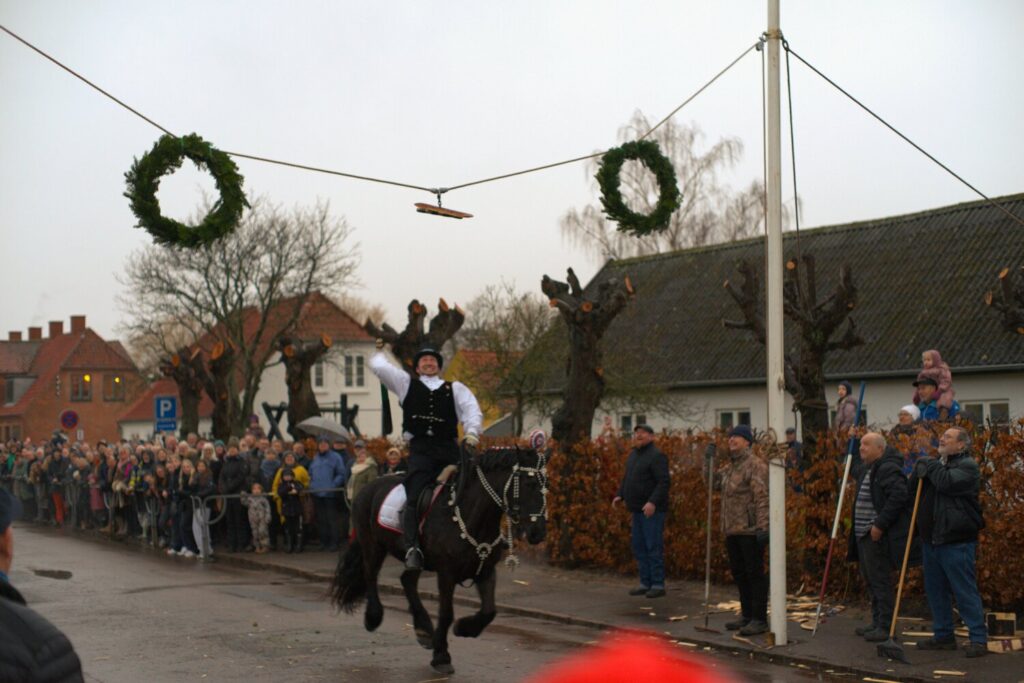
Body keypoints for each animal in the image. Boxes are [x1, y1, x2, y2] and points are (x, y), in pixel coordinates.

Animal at [331, 446, 548, 675]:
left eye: (547, 486)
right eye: (529, 484)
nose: (538, 532)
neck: (469, 516)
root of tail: (368, 487)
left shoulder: (485, 569)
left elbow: (489, 611)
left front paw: (464, 629)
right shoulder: (446, 573)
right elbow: (446, 613)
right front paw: (441, 656)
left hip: (413, 558)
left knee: (407, 580)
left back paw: (424, 630)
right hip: (372, 545)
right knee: (371, 574)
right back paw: (374, 617)